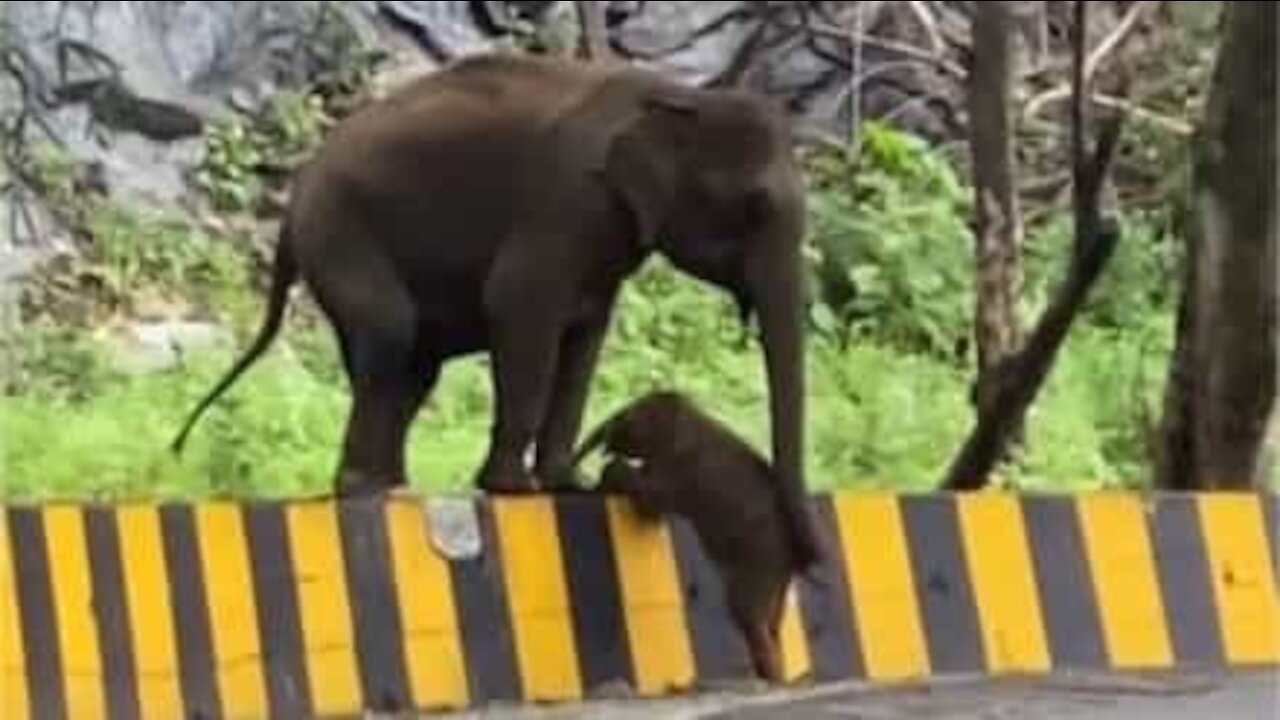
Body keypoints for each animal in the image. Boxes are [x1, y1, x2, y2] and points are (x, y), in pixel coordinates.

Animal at [170, 50, 824, 566]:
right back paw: (370, 492)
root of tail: (292, 198)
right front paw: (515, 489)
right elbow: (520, 305)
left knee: (410, 367)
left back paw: (391, 485)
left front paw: (567, 485)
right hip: (338, 230)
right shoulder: (568, 199)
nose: (809, 560)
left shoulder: (607, 233)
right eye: (755, 207)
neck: (683, 95)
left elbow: (585, 335)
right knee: (390, 334)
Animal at [576, 389, 803, 681]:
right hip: (774, 572)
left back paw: (768, 676)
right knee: (772, 617)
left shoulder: (680, 468)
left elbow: (650, 501)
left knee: (746, 609)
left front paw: (609, 475)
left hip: (759, 557)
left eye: (629, 414)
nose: (607, 439)